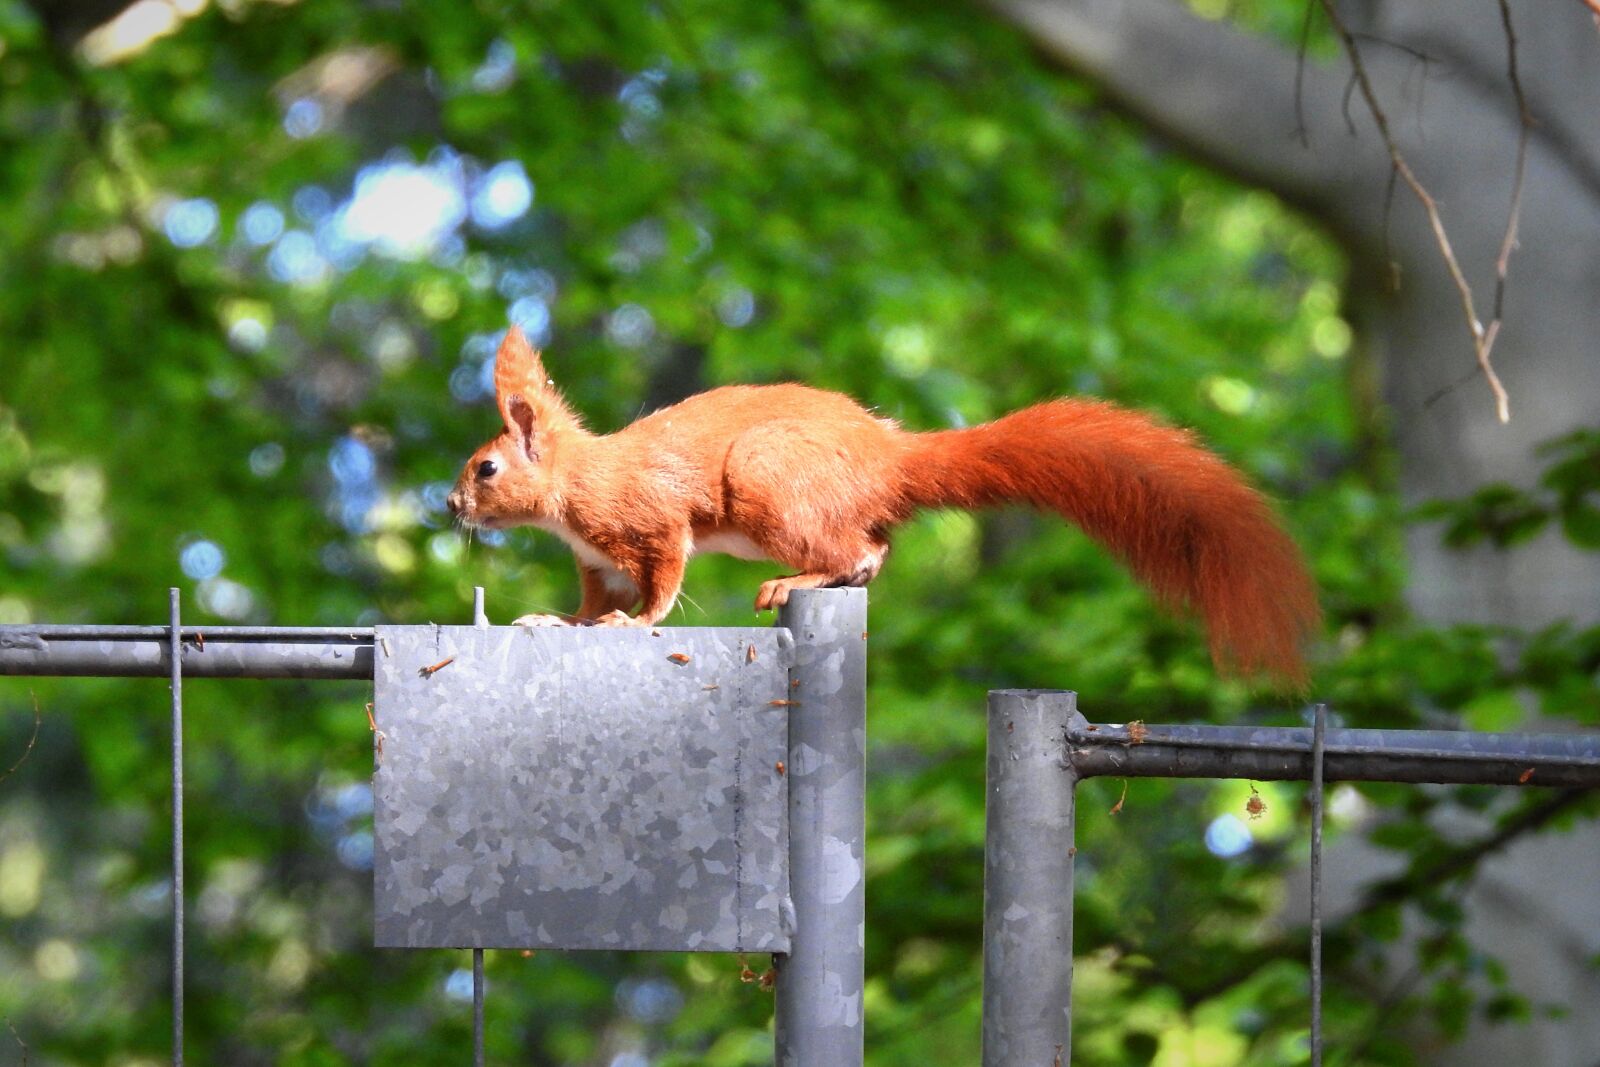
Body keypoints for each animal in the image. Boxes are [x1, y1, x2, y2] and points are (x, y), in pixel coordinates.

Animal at [446, 327, 1320, 688]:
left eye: (486, 467)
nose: (450, 502)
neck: (571, 488)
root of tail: (890, 458)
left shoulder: (650, 521)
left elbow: (660, 584)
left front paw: (634, 625)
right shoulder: (595, 562)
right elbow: (590, 603)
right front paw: (559, 620)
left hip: (770, 486)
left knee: (857, 551)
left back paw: (799, 581)